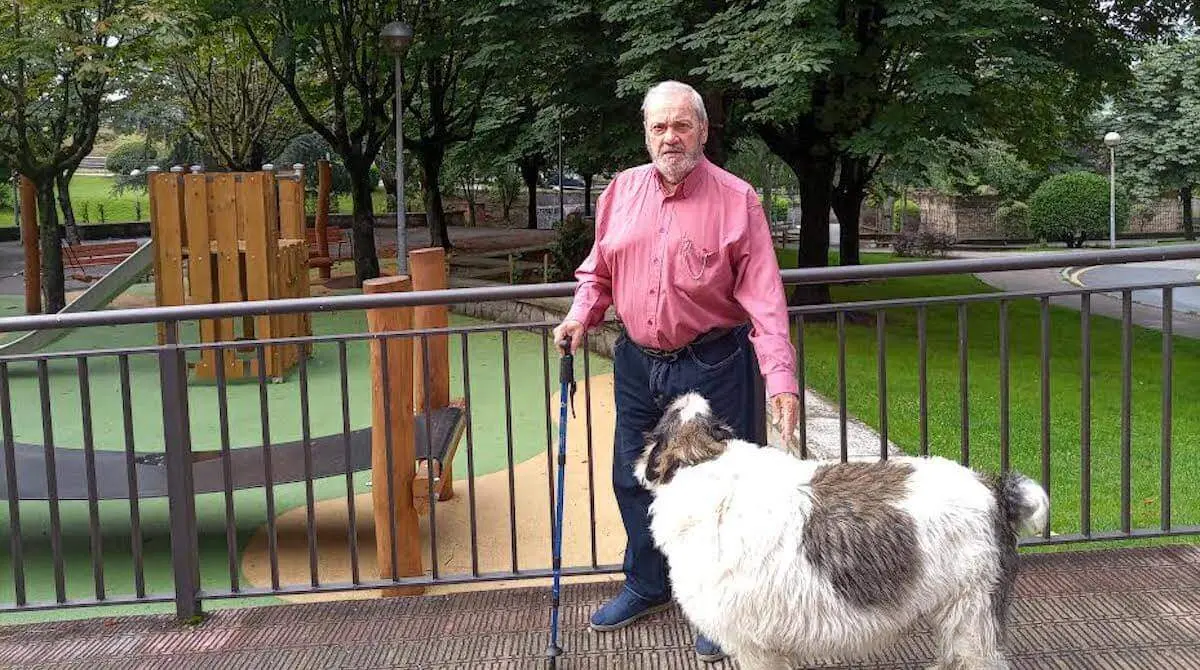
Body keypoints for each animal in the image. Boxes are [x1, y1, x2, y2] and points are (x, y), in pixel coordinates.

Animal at [638, 393, 1051, 670]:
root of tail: (995, 490)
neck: (702, 460)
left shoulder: (754, 645)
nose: (689, 395)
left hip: (973, 611)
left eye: (665, 419)